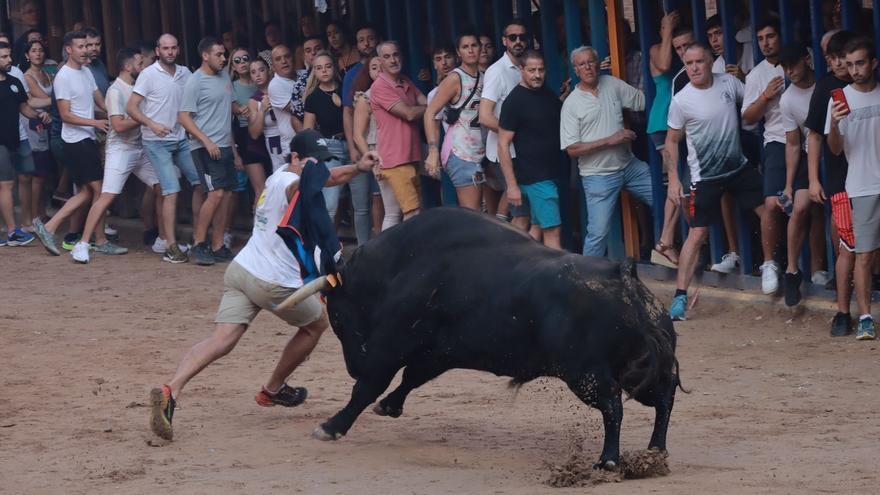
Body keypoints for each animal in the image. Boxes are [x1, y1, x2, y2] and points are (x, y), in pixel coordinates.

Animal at [296, 207, 680, 470]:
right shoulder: (438, 353)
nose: (350, 366)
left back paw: (608, 460)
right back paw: (656, 450)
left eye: (337, 315)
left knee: (614, 406)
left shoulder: (388, 346)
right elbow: (411, 379)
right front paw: (390, 406)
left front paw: (331, 427)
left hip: (586, 374)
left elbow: (367, 388)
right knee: (663, 399)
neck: (397, 266)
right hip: (640, 371)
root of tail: (623, 275)